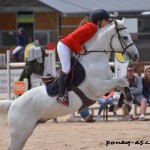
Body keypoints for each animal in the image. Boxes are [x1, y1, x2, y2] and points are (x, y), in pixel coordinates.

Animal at [0, 18, 138, 149]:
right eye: (125, 37)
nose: (136, 55)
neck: (94, 60)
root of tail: (12, 104)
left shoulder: (109, 83)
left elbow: (123, 84)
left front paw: (121, 105)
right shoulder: (98, 87)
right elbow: (123, 80)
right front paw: (125, 105)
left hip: (26, 132)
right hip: (20, 134)